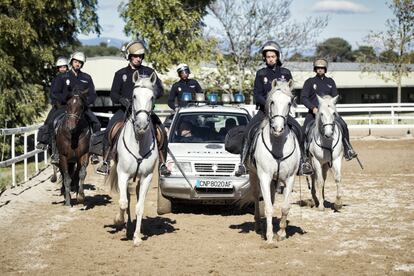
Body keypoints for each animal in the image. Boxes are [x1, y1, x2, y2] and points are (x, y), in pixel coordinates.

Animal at [106, 70, 158, 246]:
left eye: (152, 97)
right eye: (134, 96)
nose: (141, 125)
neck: (139, 142)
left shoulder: (147, 177)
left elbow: (139, 207)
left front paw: (137, 237)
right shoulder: (122, 174)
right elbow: (123, 202)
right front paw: (118, 220)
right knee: (126, 198)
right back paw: (125, 225)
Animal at [244, 79, 300, 244]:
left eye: (289, 102)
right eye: (272, 101)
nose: (278, 129)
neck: (278, 144)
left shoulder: (290, 178)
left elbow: (285, 207)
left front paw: (281, 233)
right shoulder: (264, 176)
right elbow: (268, 207)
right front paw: (269, 238)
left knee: (273, 197)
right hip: (253, 174)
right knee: (256, 197)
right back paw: (258, 226)